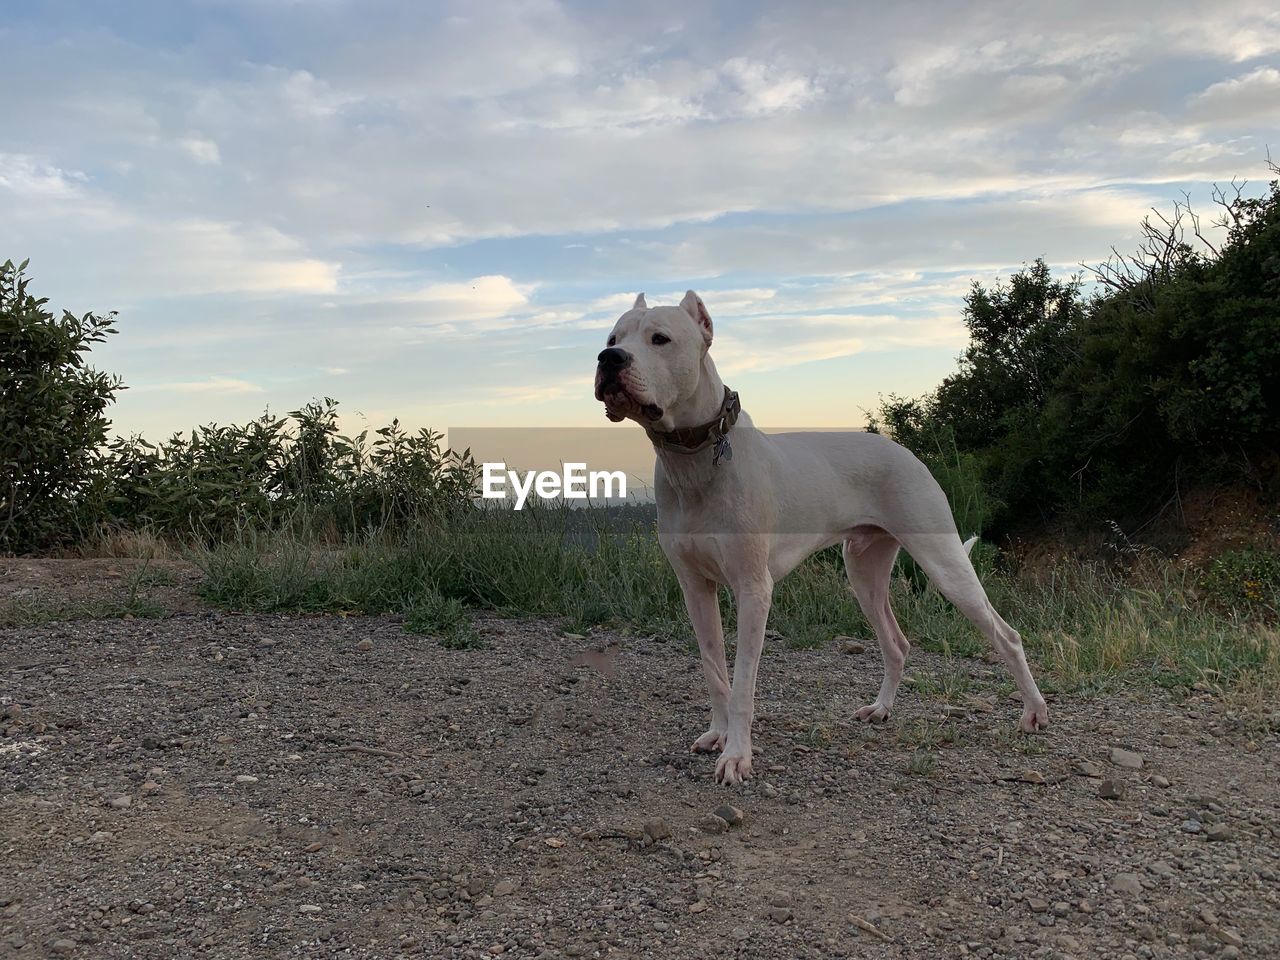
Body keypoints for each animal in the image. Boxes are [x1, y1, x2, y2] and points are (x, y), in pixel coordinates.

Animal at [593, 295, 1044, 788]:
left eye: (660, 338)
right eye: (613, 338)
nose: (609, 359)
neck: (695, 459)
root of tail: (904, 451)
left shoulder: (754, 591)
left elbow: (743, 684)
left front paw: (737, 755)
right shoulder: (695, 588)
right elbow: (715, 673)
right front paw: (718, 734)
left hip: (944, 563)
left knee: (1007, 636)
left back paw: (1034, 713)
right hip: (864, 575)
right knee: (896, 643)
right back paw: (881, 709)